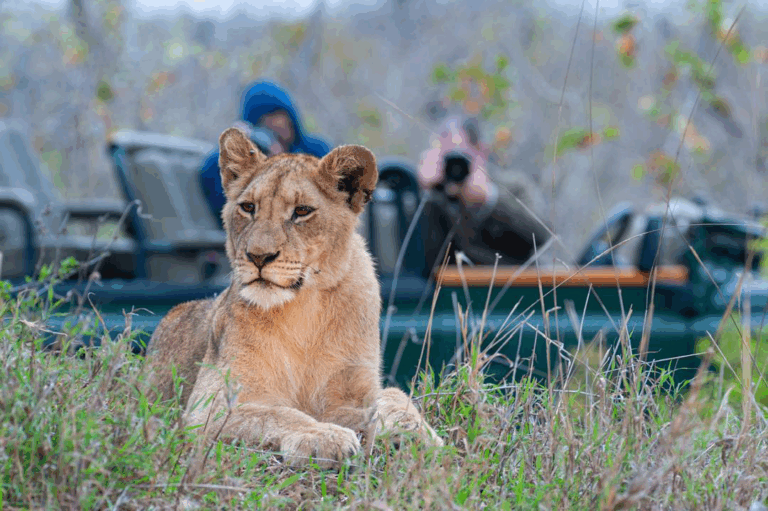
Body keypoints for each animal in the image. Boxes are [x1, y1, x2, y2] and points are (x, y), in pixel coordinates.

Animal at [145, 127, 442, 468]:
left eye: (301, 211)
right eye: (248, 207)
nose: (258, 256)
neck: (304, 310)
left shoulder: (353, 392)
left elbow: (393, 397)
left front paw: (419, 435)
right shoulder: (207, 406)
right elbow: (275, 414)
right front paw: (324, 437)